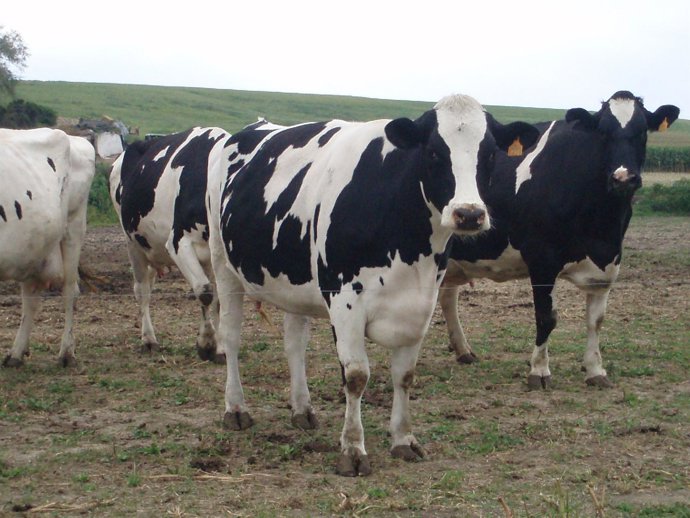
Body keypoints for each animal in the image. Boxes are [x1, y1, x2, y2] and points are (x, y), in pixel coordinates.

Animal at [1, 129, 95, 367]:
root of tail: (76, 139)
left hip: (73, 227)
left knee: (70, 290)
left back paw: (66, 353)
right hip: (32, 247)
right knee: (30, 298)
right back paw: (16, 353)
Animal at [109, 127, 230, 362]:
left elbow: (219, 299)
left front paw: (220, 348)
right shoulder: (178, 244)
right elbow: (205, 292)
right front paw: (206, 343)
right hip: (133, 243)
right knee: (141, 290)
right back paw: (148, 339)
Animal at [206, 95, 540, 476]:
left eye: (490, 154)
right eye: (434, 152)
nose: (469, 214)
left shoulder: (420, 305)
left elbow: (405, 375)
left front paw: (404, 439)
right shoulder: (345, 301)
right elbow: (355, 376)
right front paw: (353, 449)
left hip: (294, 281)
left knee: (294, 345)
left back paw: (302, 409)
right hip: (223, 264)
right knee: (232, 336)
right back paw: (236, 409)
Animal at [439, 91, 680, 389]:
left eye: (642, 131)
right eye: (603, 132)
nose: (623, 178)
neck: (602, 226)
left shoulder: (607, 264)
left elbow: (595, 320)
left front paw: (595, 370)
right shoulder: (542, 258)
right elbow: (546, 317)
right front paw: (539, 371)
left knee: (447, 297)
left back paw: (463, 351)